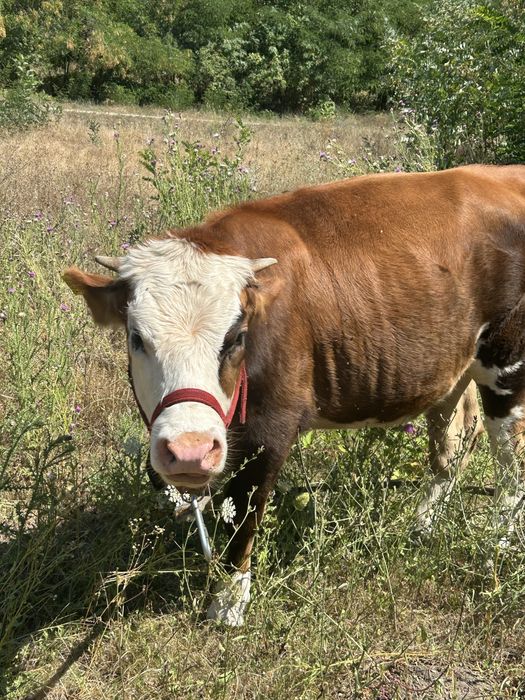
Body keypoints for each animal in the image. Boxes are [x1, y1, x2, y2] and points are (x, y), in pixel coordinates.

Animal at [64, 164, 525, 626]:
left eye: (236, 337)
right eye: (136, 338)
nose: (190, 449)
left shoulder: (272, 428)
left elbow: (244, 512)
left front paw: (227, 603)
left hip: (507, 366)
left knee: (510, 462)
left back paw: (496, 543)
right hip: (453, 366)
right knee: (455, 442)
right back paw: (422, 527)